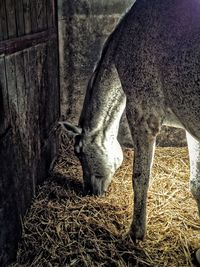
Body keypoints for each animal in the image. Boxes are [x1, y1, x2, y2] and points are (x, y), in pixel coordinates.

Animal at [60, 0, 200, 264]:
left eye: (79, 152)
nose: (90, 191)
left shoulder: (143, 118)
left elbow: (140, 179)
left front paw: (135, 232)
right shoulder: (191, 128)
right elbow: (197, 185)